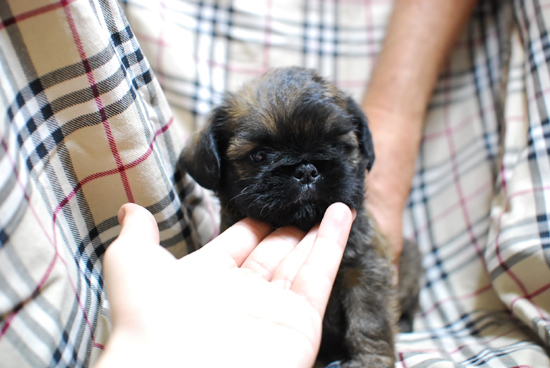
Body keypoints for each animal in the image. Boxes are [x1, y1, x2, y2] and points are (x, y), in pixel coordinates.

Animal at [181, 67, 422, 368]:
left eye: (336, 145)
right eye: (259, 156)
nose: (306, 170)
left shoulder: (366, 268)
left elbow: (369, 319)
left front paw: (371, 360)